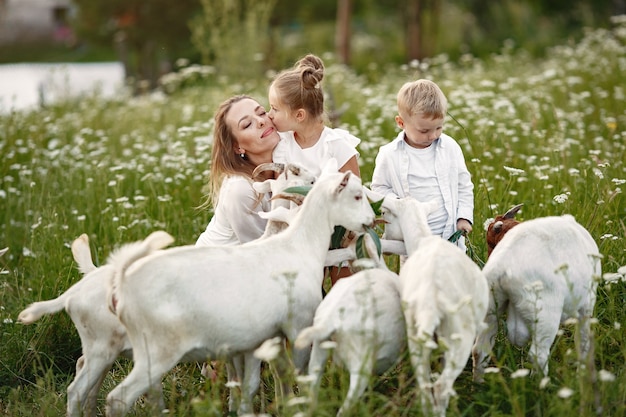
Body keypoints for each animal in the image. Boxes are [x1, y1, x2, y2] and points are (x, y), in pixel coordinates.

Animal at [104, 169, 372, 416]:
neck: (299, 246)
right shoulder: (299, 326)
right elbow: (300, 374)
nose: (370, 221)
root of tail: (123, 286)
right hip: (158, 349)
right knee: (118, 398)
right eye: (357, 195)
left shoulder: (261, 338)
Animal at [380, 196, 488, 416]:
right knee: (440, 387)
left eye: (385, 214)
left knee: (426, 386)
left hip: (416, 337)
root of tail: (431, 301)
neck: (422, 239)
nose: (383, 238)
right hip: (459, 337)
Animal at [468, 213, 600, 378]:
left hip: (490, 308)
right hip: (545, 315)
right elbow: (583, 342)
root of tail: (502, 266)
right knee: (538, 356)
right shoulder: (587, 305)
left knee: (480, 351)